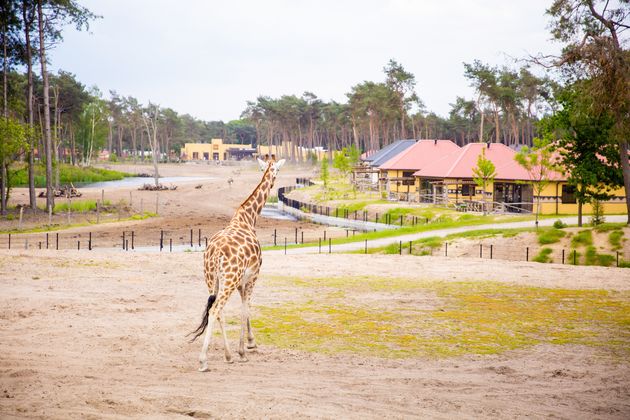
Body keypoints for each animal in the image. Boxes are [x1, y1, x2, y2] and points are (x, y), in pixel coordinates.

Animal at [189, 154, 286, 370]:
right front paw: (244, 350)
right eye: (276, 169)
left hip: (212, 279)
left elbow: (244, 308)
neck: (248, 218)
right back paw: (203, 360)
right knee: (216, 309)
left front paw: (249, 344)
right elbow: (245, 308)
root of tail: (215, 254)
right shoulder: (253, 276)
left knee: (218, 311)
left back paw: (227, 355)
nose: (274, 181)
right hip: (229, 279)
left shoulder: (242, 280)